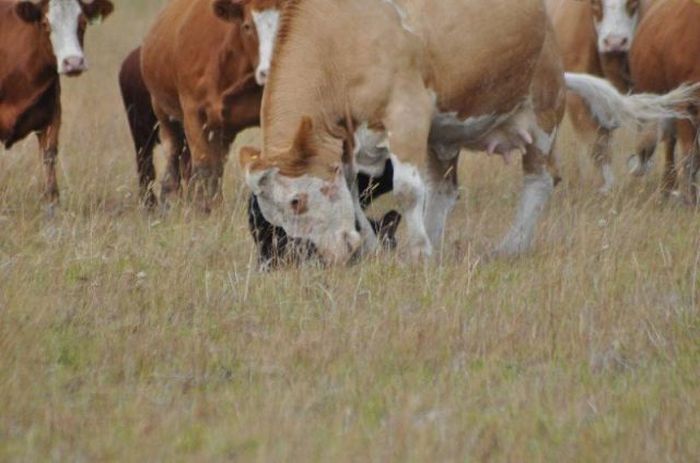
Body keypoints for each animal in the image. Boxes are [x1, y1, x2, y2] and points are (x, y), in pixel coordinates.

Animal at [0, 0, 113, 205]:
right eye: (45, 24)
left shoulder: (52, 116)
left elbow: (49, 157)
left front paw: (52, 200)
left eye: (83, 23)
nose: (73, 62)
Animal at [139, 0, 284, 213]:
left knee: (217, 165)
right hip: (164, 112)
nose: (270, 71)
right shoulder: (193, 112)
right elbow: (203, 165)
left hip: (221, 130)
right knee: (174, 154)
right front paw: (201, 209)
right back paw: (169, 199)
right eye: (247, 26)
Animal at [548, 0, 656, 192]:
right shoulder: (578, 97)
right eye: (594, 3)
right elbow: (596, 143)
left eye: (634, 2)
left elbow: (647, 140)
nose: (615, 42)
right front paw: (606, 186)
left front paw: (638, 166)